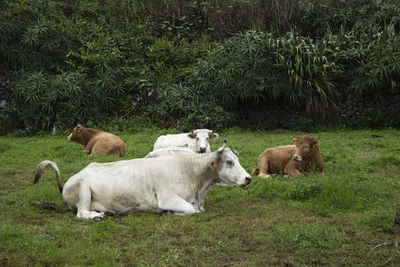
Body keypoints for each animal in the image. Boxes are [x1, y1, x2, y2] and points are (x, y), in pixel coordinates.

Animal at [35, 146, 253, 221]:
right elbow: (190, 210)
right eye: (229, 161)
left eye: (236, 159)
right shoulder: (167, 198)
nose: (248, 178)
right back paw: (98, 216)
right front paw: (170, 213)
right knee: (81, 213)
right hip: (83, 190)